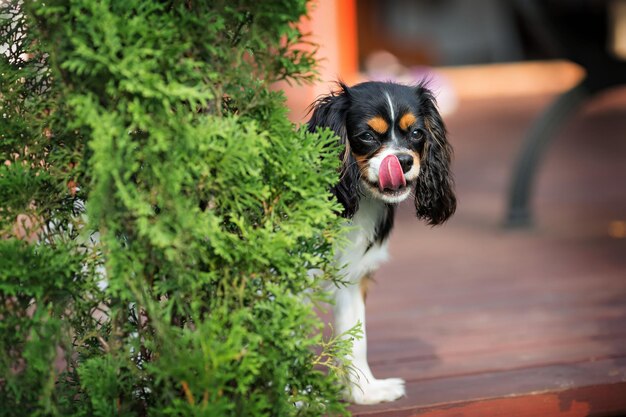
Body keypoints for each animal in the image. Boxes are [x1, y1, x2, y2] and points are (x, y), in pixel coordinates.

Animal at [306, 80, 454, 404]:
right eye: (366, 136)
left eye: (417, 133)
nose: (403, 160)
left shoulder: (350, 279)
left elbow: (355, 339)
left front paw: (366, 392)